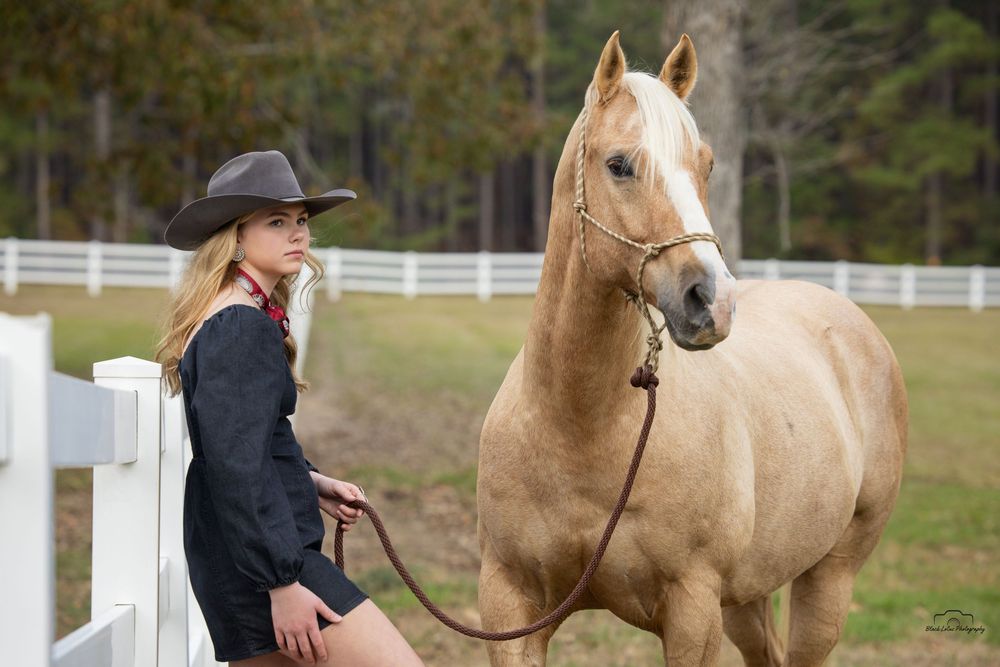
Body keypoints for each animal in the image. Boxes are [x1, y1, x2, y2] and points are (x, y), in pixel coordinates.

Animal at [475, 31, 907, 666]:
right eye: (619, 165)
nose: (712, 300)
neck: (582, 428)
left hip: (829, 576)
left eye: (706, 164)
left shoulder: (693, 612)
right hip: (747, 597)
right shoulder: (511, 605)